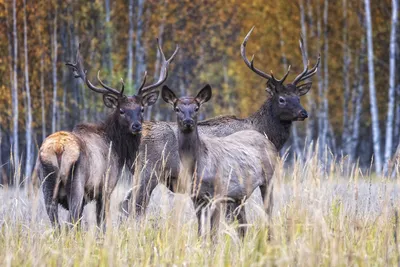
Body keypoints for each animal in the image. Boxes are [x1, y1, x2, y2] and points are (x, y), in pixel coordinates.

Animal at [36, 40, 179, 229]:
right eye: (121, 110)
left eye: (141, 109)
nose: (136, 126)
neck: (117, 146)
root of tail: (59, 148)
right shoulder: (106, 187)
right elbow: (101, 224)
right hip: (76, 185)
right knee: (71, 221)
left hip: (47, 186)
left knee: (56, 224)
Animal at [161, 84, 276, 237]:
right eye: (177, 108)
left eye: (196, 108)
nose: (188, 122)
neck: (197, 166)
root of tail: (268, 141)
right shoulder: (196, 197)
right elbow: (200, 231)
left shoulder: (218, 192)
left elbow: (213, 232)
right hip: (239, 195)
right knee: (243, 226)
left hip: (268, 179)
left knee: (268, 214)